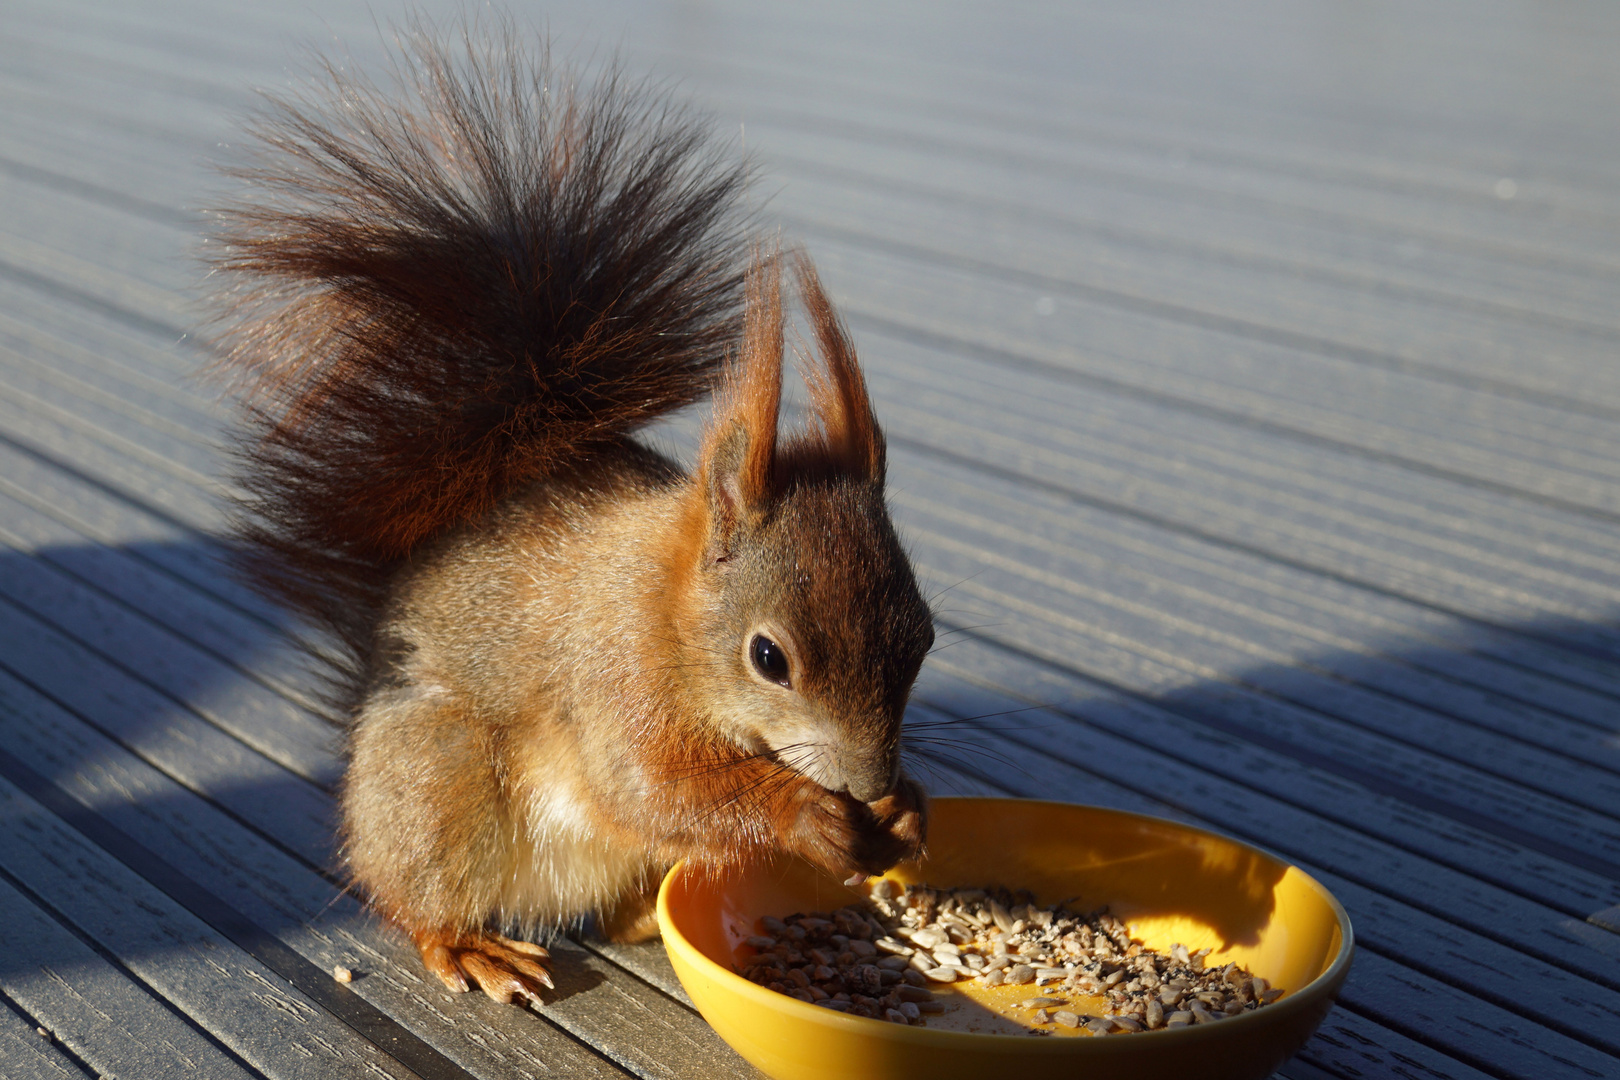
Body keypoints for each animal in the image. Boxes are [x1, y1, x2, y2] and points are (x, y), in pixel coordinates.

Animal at [204, 23, 939, 1003]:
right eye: (768, 658)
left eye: (925, 638)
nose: (868, 776)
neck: (670, 610)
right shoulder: (613, 678)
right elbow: (650, 785)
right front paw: (808, 816)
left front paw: (907, 810)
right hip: (438, 783)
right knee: (416, 894)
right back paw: (468, 945)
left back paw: (649, 918)